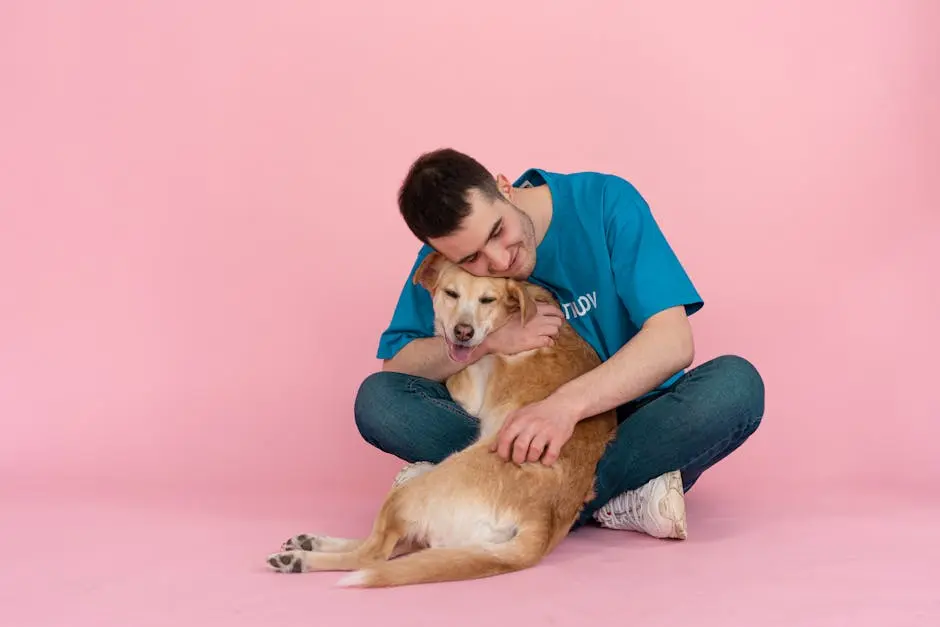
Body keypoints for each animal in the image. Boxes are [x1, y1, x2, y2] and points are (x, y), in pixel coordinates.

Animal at [264, 253, 616, 588]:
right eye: (451, 293)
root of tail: (542, 520)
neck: (518, 307)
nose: (464, 332)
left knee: (373, 556)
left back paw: (300, 560)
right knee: (398, 547)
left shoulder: (471, 385)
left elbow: (457, 373)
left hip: (405, 499)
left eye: (487, 300)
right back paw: (311, 542)